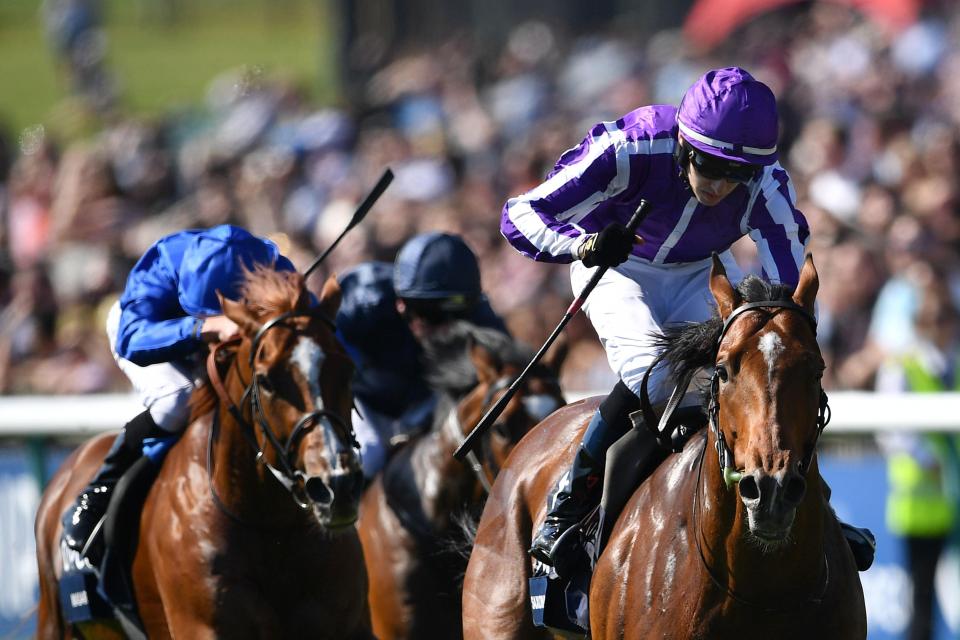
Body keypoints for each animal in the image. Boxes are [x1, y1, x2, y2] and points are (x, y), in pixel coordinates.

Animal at [33, 268, 372, 640]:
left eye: (348, 369)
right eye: (267, 381)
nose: (337, 486)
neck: (269, 526)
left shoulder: (350, 623)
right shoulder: (203, 625)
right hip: (54, 620)